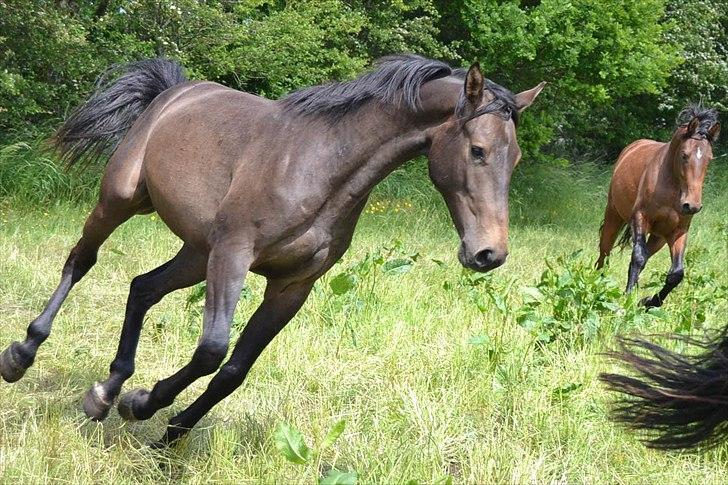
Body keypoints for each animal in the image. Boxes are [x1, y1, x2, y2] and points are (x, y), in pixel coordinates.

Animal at [0, 54, 544, 444]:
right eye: (478, 150)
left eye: (515, 158)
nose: (489, 254)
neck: (321, 166)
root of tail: (175, 92)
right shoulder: (234, 256)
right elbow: (212, 350)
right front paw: (143, 404)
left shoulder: (291, 286)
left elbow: (234, 371)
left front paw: (167, 434)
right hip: (122, 202)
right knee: (81, 262)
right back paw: (23, 355)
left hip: (196, 253)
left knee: (142, 288)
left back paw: (105, 392)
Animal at [596, 106, 720, 306]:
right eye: (684, 155)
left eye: (709, 158)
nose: (692, 206)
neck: (671, 188)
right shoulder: (640, 217)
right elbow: (638, 257)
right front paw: (628, 297)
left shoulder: (678, 230)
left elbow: (676, 273)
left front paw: (649, 301)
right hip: (613, 215)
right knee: (605, 251)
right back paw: (598, 281)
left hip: (658, 238)